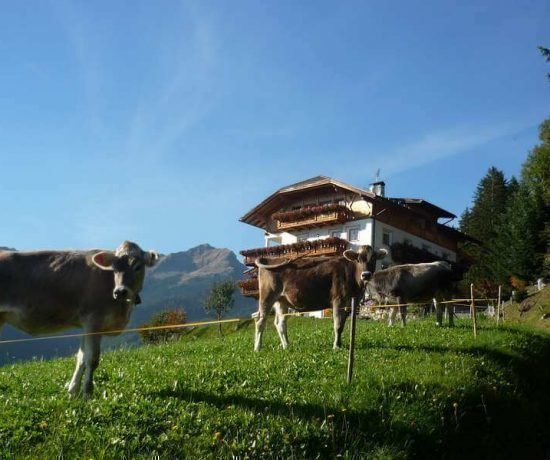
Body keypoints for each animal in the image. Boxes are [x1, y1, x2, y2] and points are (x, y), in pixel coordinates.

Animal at [0, 241, 160, 396]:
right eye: (114, 269)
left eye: (138, 267)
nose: (120, 291)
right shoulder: (93, 321)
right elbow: (92, 358)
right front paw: (87, 392)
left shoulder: (86, 325)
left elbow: (81, 358)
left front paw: (73, 391)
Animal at [254, 246, 388, 350]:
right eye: (358, 259)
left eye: (373, 259)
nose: (366, 275)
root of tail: (269, 259)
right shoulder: (338, 301)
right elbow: (337, 324)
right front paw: (336, 347)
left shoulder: (349, 304)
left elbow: (342, 325)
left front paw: (339, 344)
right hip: (267, 296)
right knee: (260, 322)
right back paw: (257, 348)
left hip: (281, 301)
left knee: (280, 323)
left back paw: (286, 346)